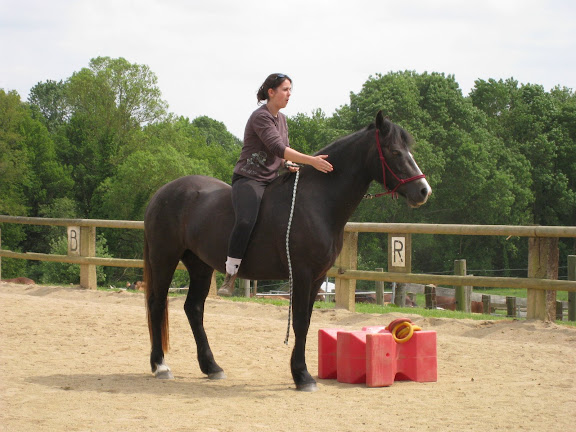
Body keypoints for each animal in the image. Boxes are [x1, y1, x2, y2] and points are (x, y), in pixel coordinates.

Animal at [143, 111, 431, 391]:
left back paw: (211, 366)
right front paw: (302, 376)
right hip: (164, 258)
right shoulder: (302, 274)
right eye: (395, 151)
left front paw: (301, 373)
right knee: (157, 304)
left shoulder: (317, 278)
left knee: (194, 308)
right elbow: (301, 321)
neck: (317, 201)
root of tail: (161, 193)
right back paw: (161, 365)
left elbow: (307, 321)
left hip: (200, 266)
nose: (423, 191)